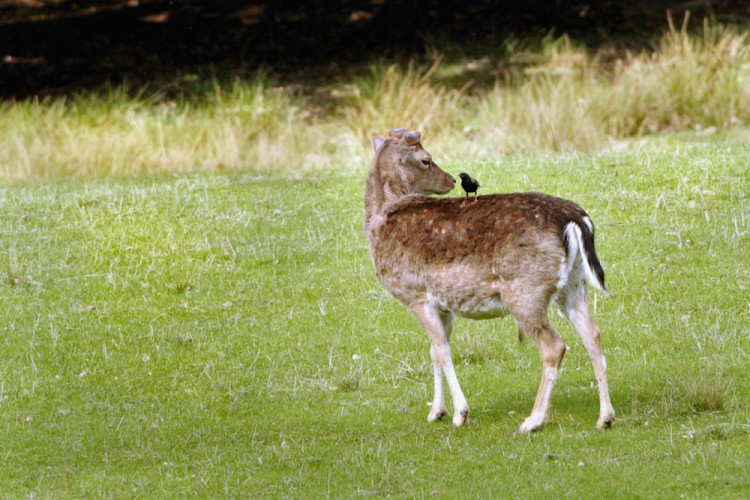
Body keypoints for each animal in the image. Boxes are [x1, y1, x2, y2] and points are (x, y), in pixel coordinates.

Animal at [364, 129, 616, 434]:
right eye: (426, 160)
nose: (451, 179)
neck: (379, 220)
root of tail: (576, 220)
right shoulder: (443, 304)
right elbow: (434, 350)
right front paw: (436, 412)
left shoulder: (416, 294)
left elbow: (442, 350)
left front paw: (460, 413)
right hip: (574, 286)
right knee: (593, 335)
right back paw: (605, 417)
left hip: (526, 291)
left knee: (554, 347)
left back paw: (532, 420)